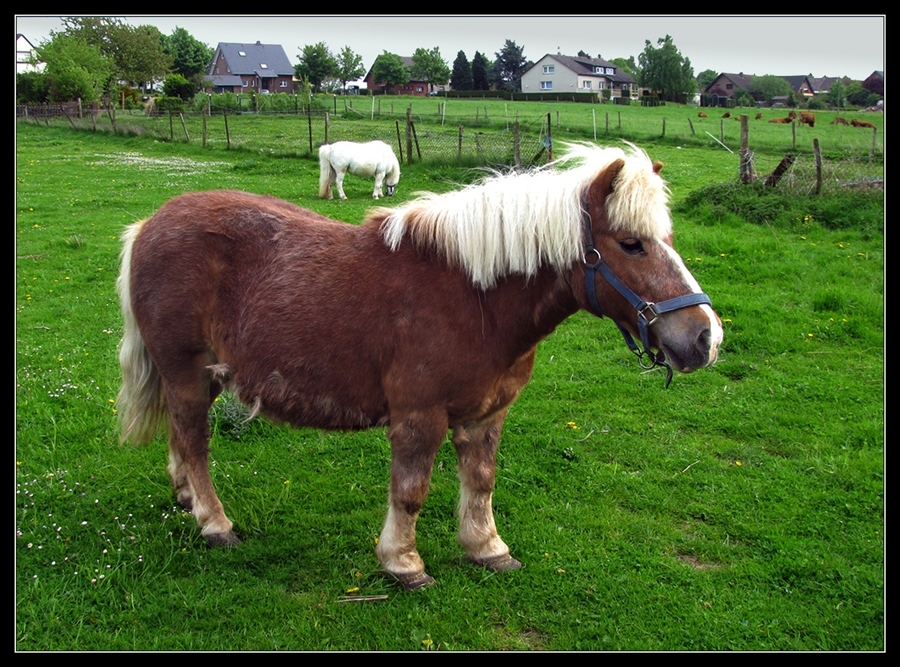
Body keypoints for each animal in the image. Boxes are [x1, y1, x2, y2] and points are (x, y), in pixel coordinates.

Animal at [119, 142, 724, 588]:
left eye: (668, 237)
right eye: (632, 244)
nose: (705, 338)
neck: (474, 297)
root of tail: (149, 224)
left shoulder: (487, 415)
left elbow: (481, 482)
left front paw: (487, 549)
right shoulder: (419, 417)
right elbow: (410, 492)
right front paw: (403, 563)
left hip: (201, 376)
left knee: (180, 437)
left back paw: (186, 499)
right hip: (185, 372)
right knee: (194, 441)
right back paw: (214, 523)